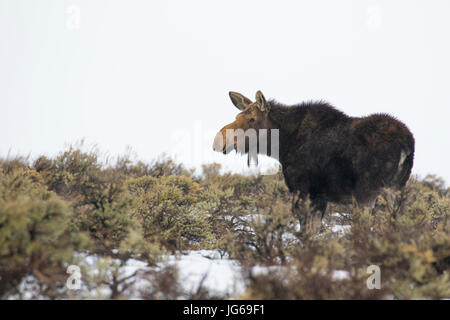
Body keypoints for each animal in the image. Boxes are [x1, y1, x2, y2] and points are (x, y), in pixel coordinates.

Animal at [213, 90, 416, 235]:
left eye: (251, 119)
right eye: (237, 117)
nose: (219, 140)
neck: (282, 145)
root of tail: (406, 145)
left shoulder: (302, 190)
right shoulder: (320, 196)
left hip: (367, 192)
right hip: (396, 190)